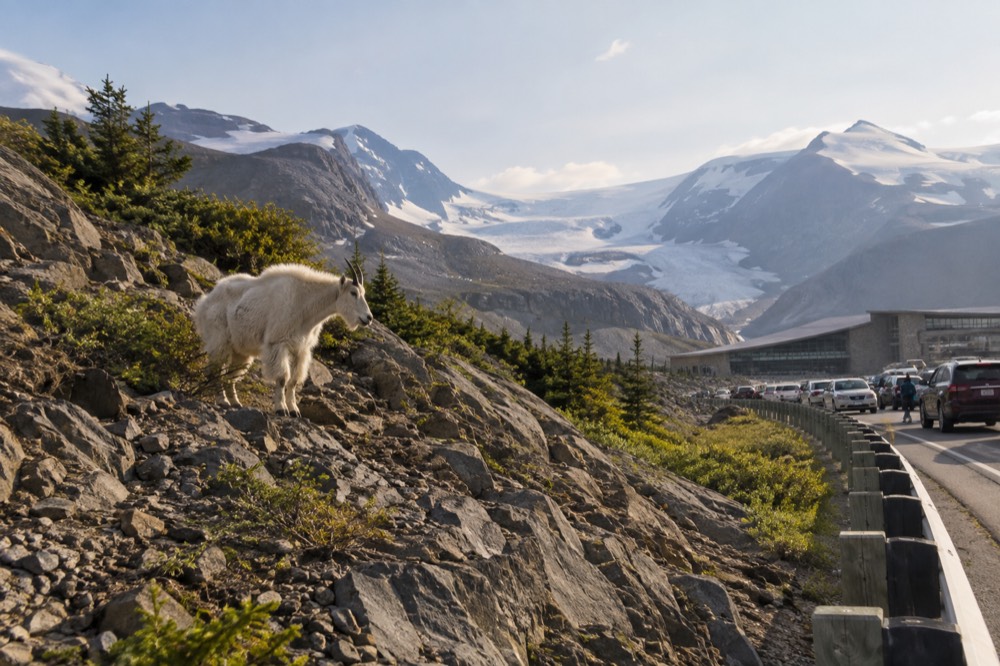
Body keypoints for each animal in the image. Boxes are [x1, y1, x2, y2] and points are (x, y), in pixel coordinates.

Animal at [193, 262, 373, 416]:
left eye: (364, 294)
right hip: (219, 339)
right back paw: (221, 400)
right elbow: (282, 378)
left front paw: (294, 410)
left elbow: (293, 381)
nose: (368, 318)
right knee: (216, 369)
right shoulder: (278, 343)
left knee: (232, 374)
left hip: (241, 349)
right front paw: (281, 409)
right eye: (353, 293)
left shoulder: (301, 349)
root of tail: (204, 303)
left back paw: (235, 402)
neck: (305, 306)